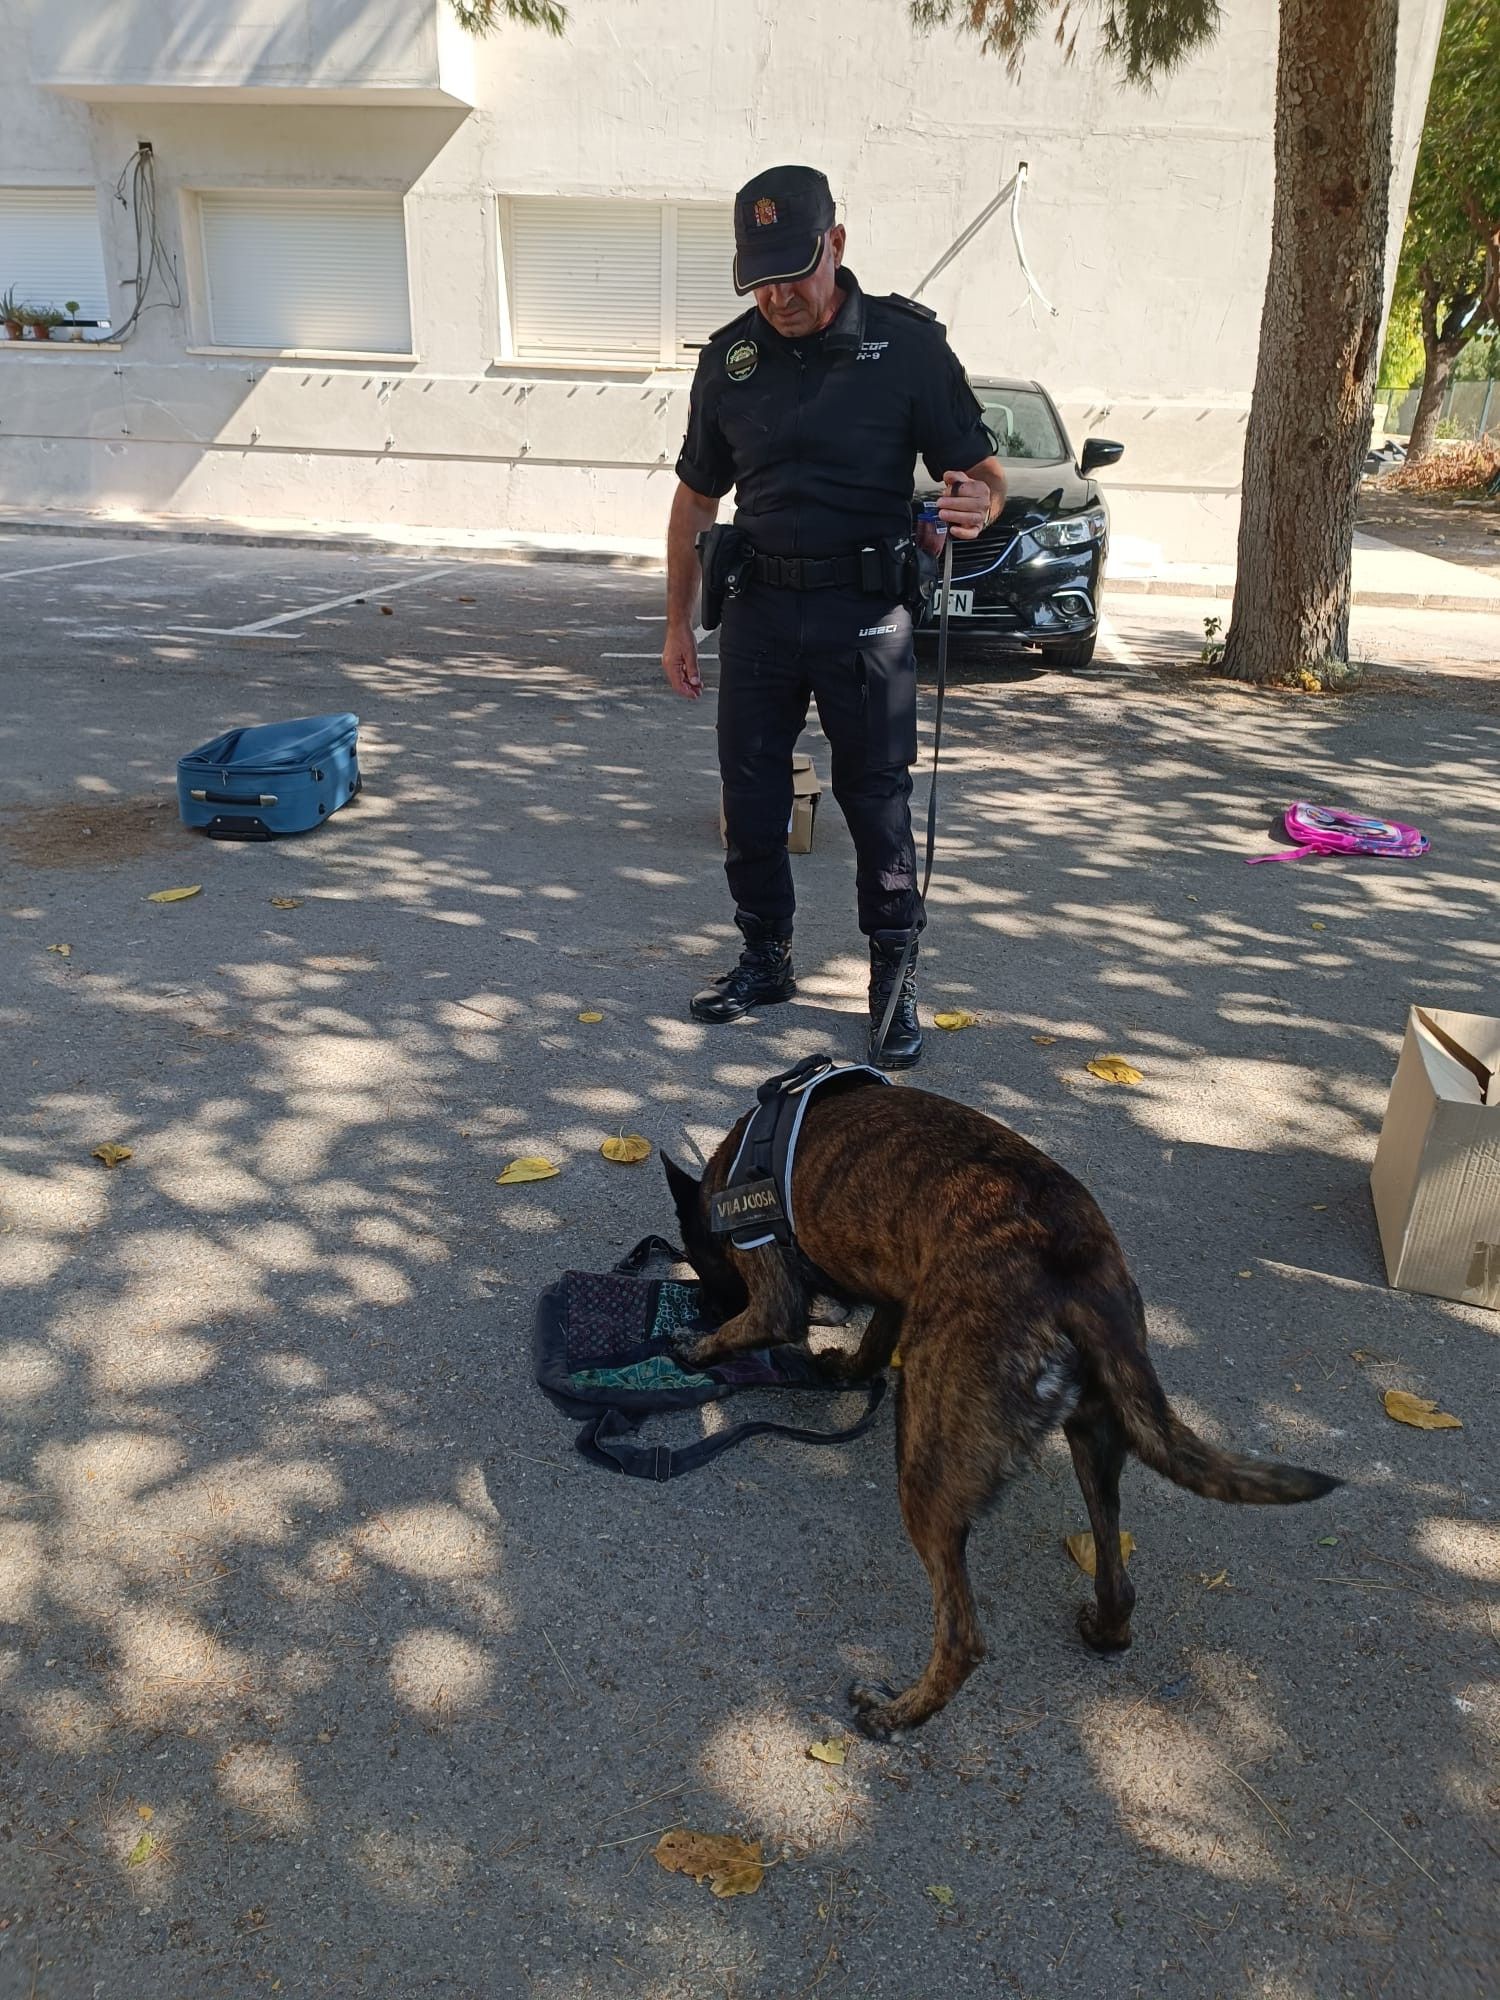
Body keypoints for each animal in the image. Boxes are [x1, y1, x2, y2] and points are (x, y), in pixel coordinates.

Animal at [664, 1080, 1338, 1738]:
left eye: (701, 1262)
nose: (704, 1307)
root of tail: (1080, 1272)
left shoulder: (771, 1283)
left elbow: (763, 1321)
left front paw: (697, 1347)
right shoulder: (898, 1293)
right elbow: (876, 1339)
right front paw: (847, 1368)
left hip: (927, 1467)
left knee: (962, 1636)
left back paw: (895, 1714)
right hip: (1095, 1440)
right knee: (1118, 1580)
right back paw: (1103, 1631)